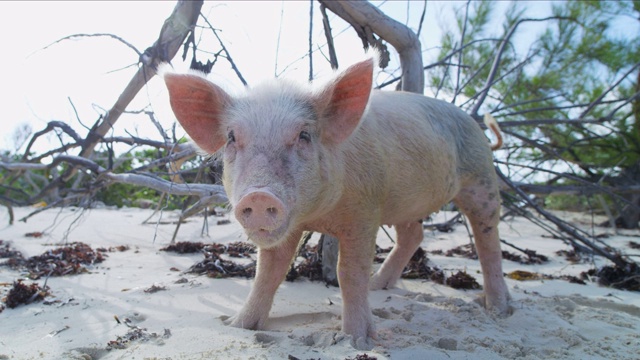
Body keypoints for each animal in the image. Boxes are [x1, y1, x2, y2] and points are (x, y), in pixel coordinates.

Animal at [164, 57, 510, 348]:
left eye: (304, 135)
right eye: (232, 137)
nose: (259, 196)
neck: (319, 215)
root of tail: (475, 126)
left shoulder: (365, 211)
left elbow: (349, 272)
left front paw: (356, 339)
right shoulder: (290, 226)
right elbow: (268, 272)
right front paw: (237, 325)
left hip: (481, 177)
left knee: (488, 238)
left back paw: (498, 309)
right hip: (405, 204)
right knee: (414, 234)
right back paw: (379, 285)